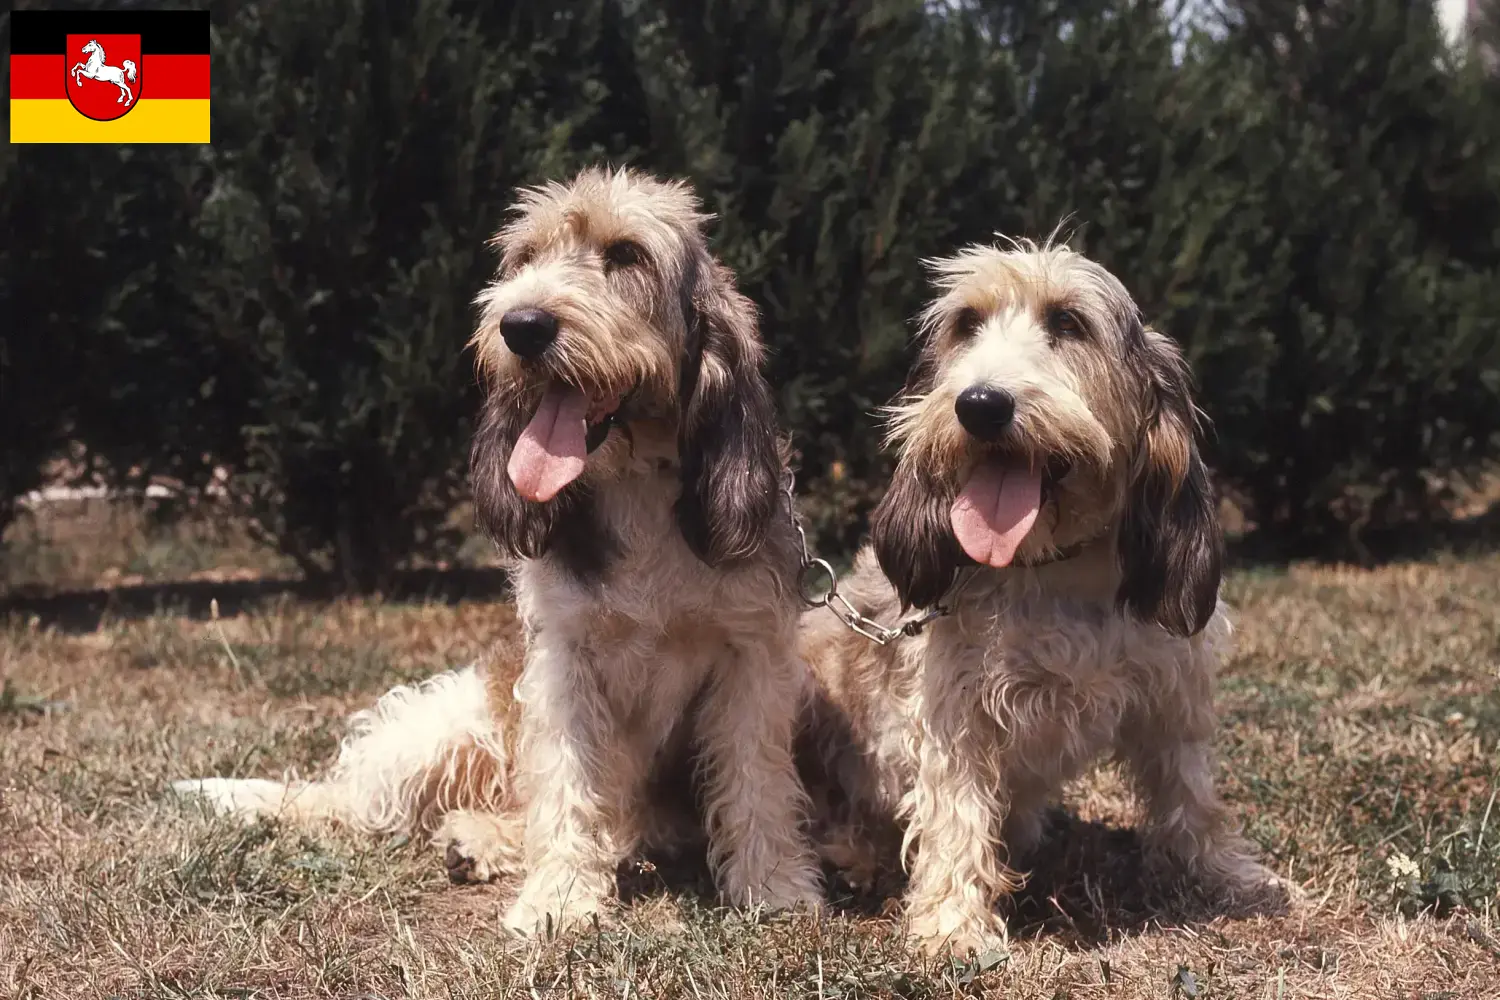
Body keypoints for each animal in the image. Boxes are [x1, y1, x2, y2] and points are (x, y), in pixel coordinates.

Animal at [184, 166, 834, 941]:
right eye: (524, 259)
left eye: (626, 255)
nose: (520, 327)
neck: (638, 488)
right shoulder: (563, 662)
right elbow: (567, 781)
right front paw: (561, 897)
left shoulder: (751, 658)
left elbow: (755, 777)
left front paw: (773, 885)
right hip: (441, 726)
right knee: (365, 800)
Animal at [804, 238, 1284, 959]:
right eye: (966, 324)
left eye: (1069, 322)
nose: (979, 405)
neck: (1053, 569)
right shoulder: (953, 710)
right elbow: (956, 810)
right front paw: (954, 927)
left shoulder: (1174, 692)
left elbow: (1192, 792)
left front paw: (1228, 875)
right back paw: (854, 854)